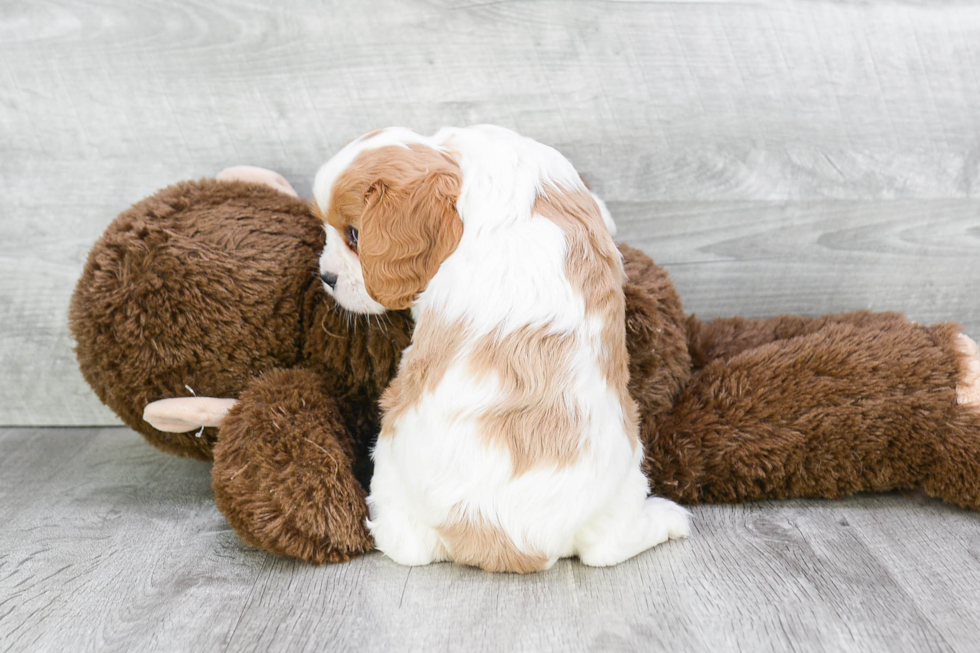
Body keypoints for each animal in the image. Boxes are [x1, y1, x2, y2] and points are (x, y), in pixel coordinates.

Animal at [314, 123, 688, 572]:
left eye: (355, 236)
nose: (326, 277)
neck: (460, 164)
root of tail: (500, 537)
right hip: (624, 480)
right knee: (606, 549)